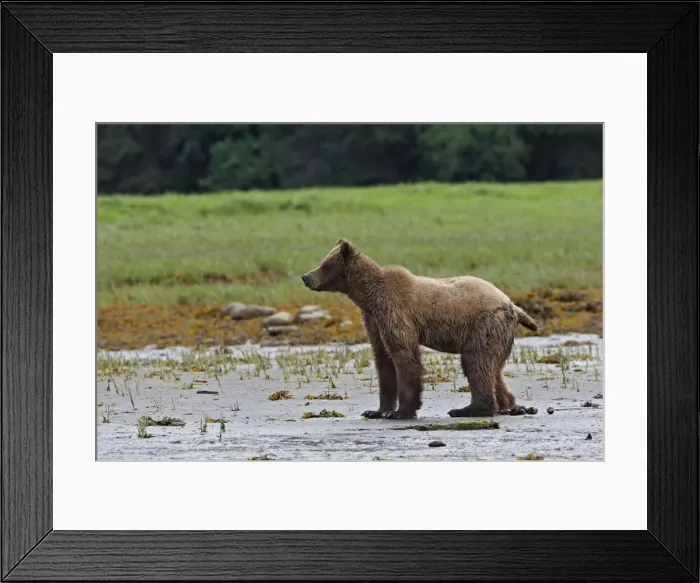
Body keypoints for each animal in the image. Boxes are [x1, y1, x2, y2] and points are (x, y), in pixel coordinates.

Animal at [301, 239, 538, 420]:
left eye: (325, 264)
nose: (305, 277)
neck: (368, 298)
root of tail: (512, 304)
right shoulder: (374, 320)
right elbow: (383, 359)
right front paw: (376, 411)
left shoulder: (395, 313)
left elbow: (404, 355)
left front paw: (400, 412)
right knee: (491, 367)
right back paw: (507, 405)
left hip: (484, 325)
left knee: (477, 363)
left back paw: (469, 409)